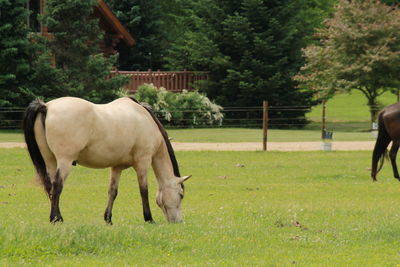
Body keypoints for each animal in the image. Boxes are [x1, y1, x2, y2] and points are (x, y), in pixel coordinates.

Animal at [22, 97, 191, 225]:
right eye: (181, 194)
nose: (179, 221)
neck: (144, 119)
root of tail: (46, 106)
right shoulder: (143, 162)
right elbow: (144, 190)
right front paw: (149, 218)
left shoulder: (117, 167)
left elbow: (112, 192)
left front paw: (108, 219)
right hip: (65, 161)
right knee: (57, 187)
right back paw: (57, 218)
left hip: (51, 162)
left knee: (51, 188)